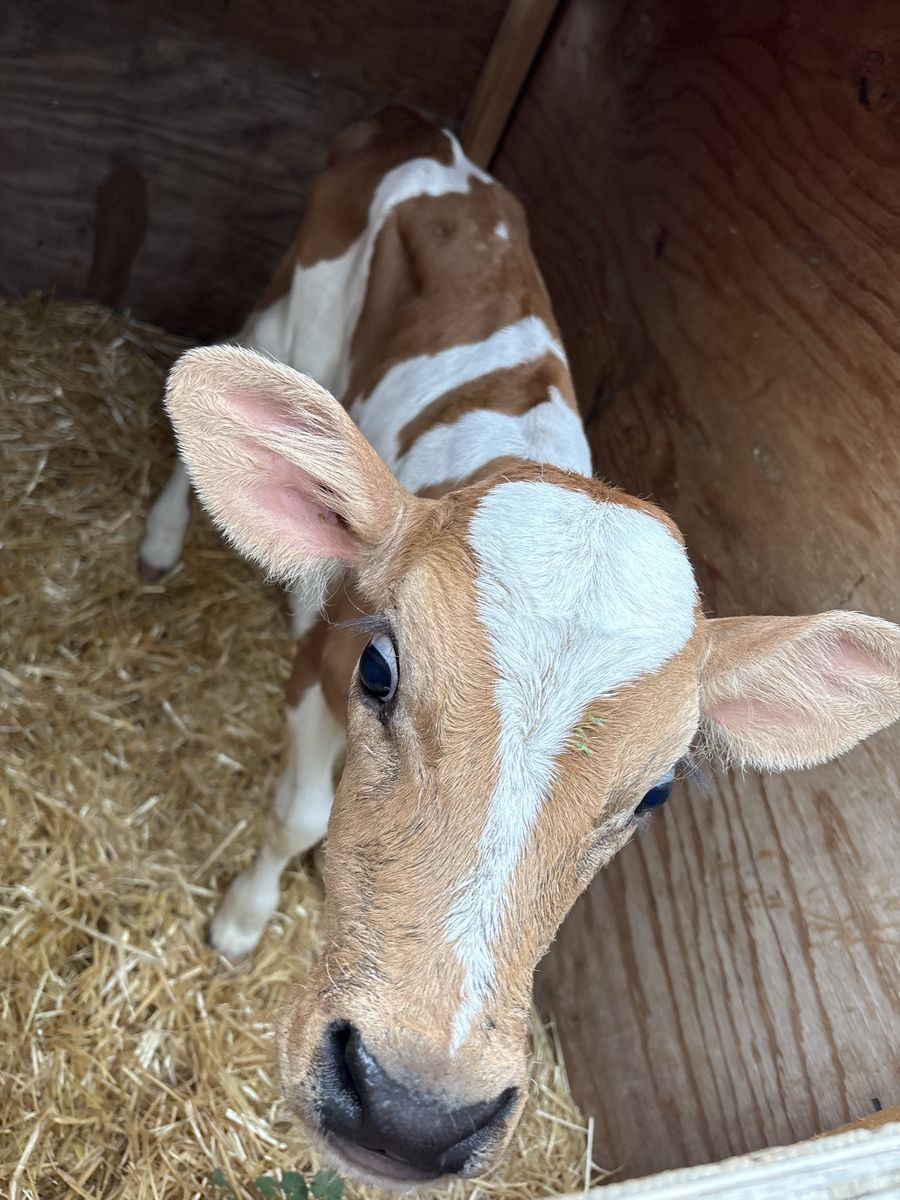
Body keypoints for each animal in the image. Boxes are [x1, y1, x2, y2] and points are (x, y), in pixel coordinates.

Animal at [140, 107, 900, 1188]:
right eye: (380, 669)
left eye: (655, 793)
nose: (412, 1109)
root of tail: (428, 133)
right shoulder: (320, 673)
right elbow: (298, 813)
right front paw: (240, 925)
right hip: (309, 301)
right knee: (235, 351)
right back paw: (165, 537)